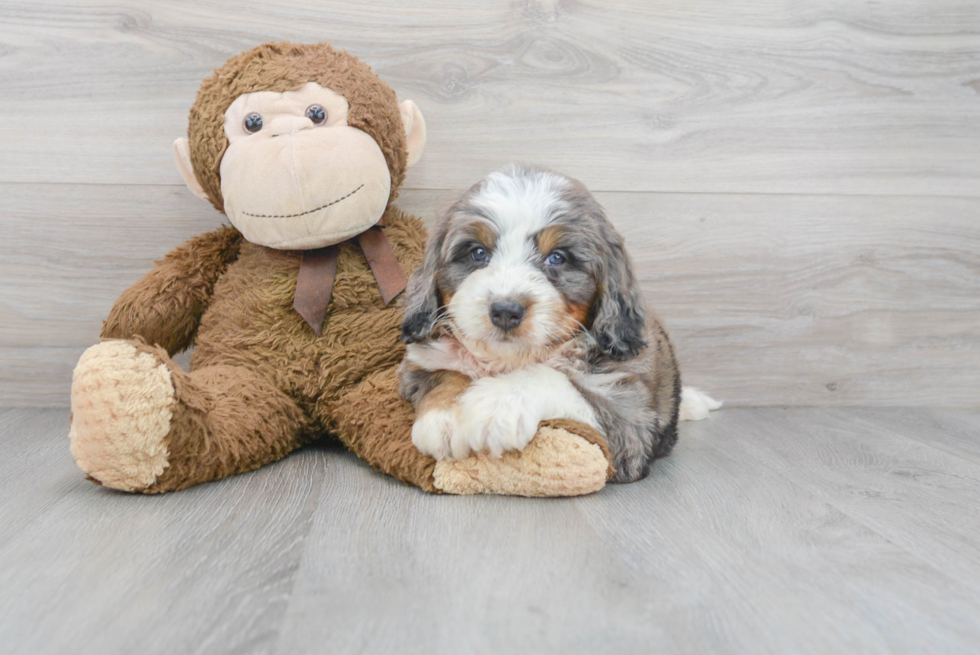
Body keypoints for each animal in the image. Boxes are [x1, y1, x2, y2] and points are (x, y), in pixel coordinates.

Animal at [402, 164, 708, 482]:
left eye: (557, 258)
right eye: (477, 252)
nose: (506, 311)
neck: (510, 360)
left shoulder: (630, 419)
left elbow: (559, 380)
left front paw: (499, 403)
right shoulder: (420, 363)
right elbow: (445, 373)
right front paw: (446, 416)